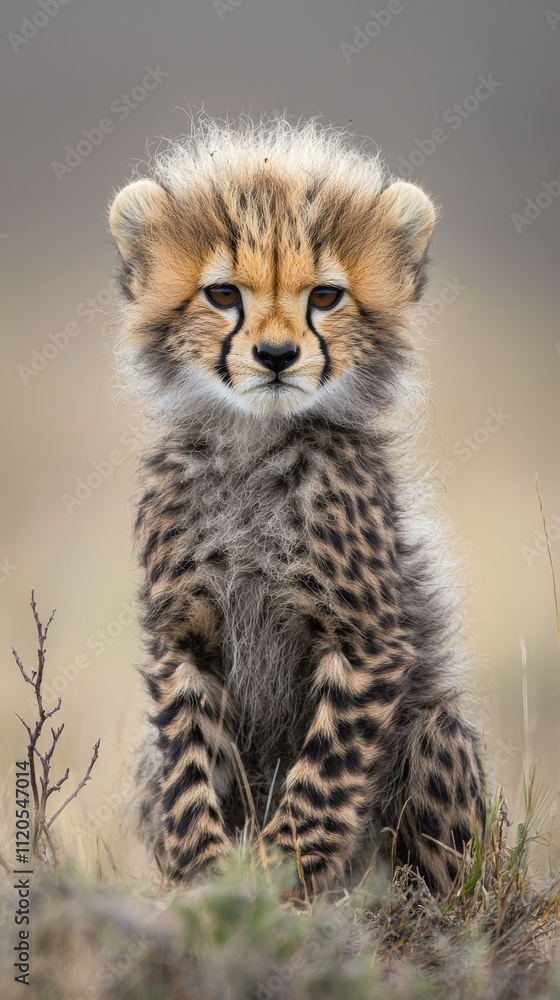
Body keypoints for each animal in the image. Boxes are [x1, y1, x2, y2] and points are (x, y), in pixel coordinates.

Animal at [108, 116, 486, 898]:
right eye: (223, 294)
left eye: (325, 298)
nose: (277, 356)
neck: (255, 445)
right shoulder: (182, 632)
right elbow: (187, 772)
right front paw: (203, 882)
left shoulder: (367, 637)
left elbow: (322, 777)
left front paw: (279, 881)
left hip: (437, 735)